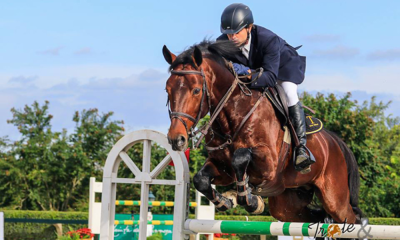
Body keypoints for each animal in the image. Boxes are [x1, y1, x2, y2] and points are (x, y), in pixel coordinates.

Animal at [162, 39, 362, 227]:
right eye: (167, 90)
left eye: (196, 90)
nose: (176, 139)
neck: (234, 114)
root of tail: (335, 142)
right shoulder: (223, 168)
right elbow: (200, 180)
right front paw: (226, 201)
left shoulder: (269, 165)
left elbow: (240, 157)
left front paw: (250, 200)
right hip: (288, 204)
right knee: (315, 217)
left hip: (334, 197)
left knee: (350, 217)